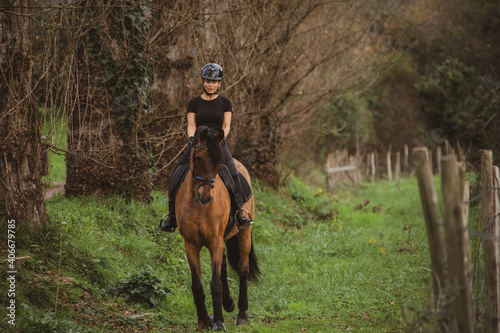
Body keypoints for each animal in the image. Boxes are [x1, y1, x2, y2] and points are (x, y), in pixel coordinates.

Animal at [175, 125, 260, 330]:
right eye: (198, 158)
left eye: (217, 163)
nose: (206, 197)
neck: (198, 206)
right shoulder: (191, 244)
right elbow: (197, 285)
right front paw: (204, 320)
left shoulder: (214, 241)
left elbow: (215, 284)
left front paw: (219, 322)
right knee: (223, 265)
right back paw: (228, 303)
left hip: (243, 233)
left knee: (243, 268)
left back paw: (242, 314)